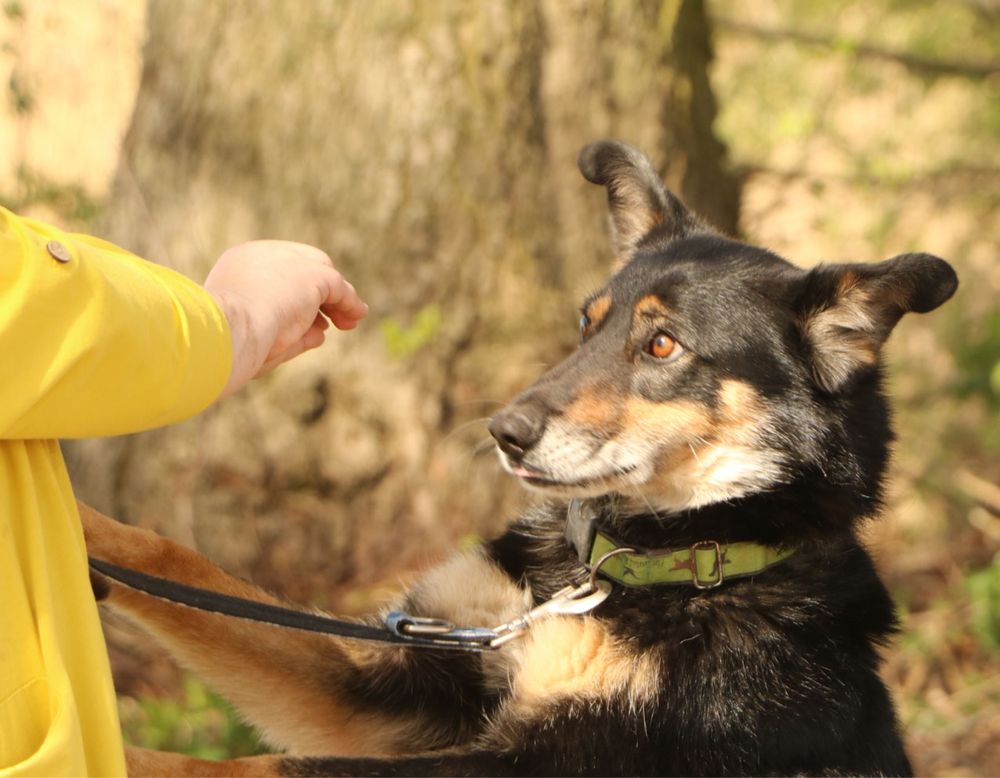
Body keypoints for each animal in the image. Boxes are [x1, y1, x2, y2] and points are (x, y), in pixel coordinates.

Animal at [82, 141, 956, 776]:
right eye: (586, 324)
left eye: (662, 345)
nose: (504, 431)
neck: (644, 570)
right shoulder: (402, 679)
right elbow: (180, 567)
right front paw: (83, 530)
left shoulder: (553, 755)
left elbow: (249, 768)